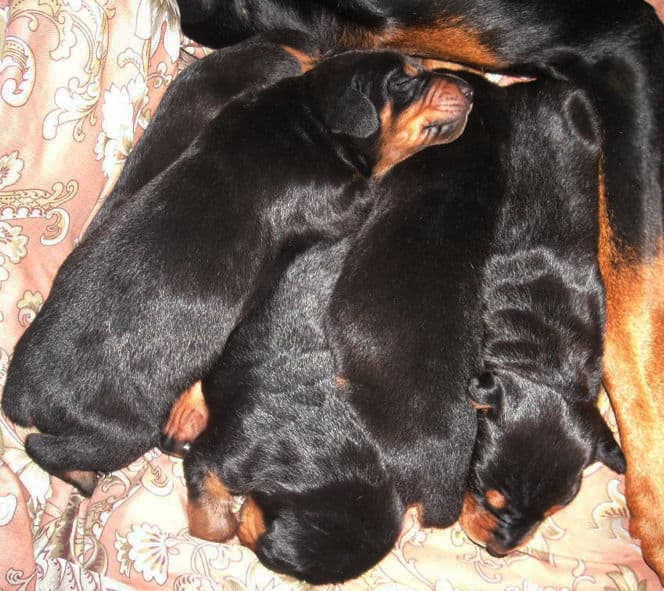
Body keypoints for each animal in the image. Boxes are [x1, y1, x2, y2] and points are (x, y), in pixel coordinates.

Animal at [2, 48, 474, 498]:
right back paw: (82, 478)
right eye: (404, 80)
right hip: (118, 429)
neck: (311, 116)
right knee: (47, 448)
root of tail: (20, 395)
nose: (470, 88)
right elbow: (376, 179)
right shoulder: (341, 203)